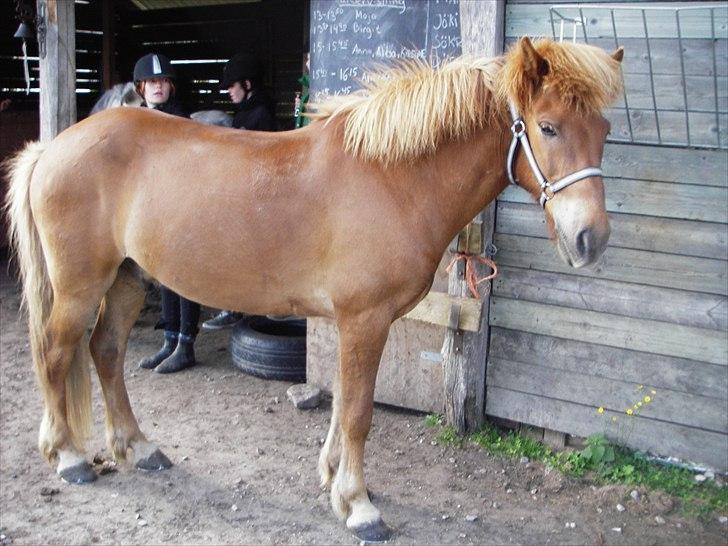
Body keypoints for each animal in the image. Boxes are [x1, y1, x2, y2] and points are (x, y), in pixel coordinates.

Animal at [4, 38, 620, 540]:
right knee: (57, 352)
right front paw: (359, 506)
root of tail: (51, 148)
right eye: (548, 127)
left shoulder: (352, 322)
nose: (590, 240)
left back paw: (139, 447)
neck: (391, 178)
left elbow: (343, 400)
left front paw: (333, 480)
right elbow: (358, 411)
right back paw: (69, 458)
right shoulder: (364, 320)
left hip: (129, 281)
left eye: (605, 132)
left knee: (105, 352)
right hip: (80, 286)